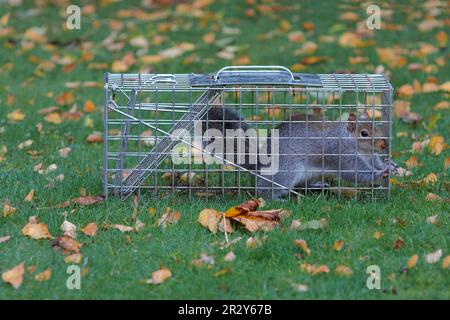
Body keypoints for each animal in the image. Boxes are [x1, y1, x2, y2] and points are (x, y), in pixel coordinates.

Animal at [202, 106, 396, 199]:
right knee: (264, 192)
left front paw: (391, 165)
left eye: (378, 127)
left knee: (303, 185)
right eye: (364, 133)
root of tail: (259, 165)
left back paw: (318, 186)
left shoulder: (370, 156)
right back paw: (277, 199)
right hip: (286, 171)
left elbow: (376, 163)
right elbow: (356, 172)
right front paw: (380, 174)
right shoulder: (339, 153)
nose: (384, 145)